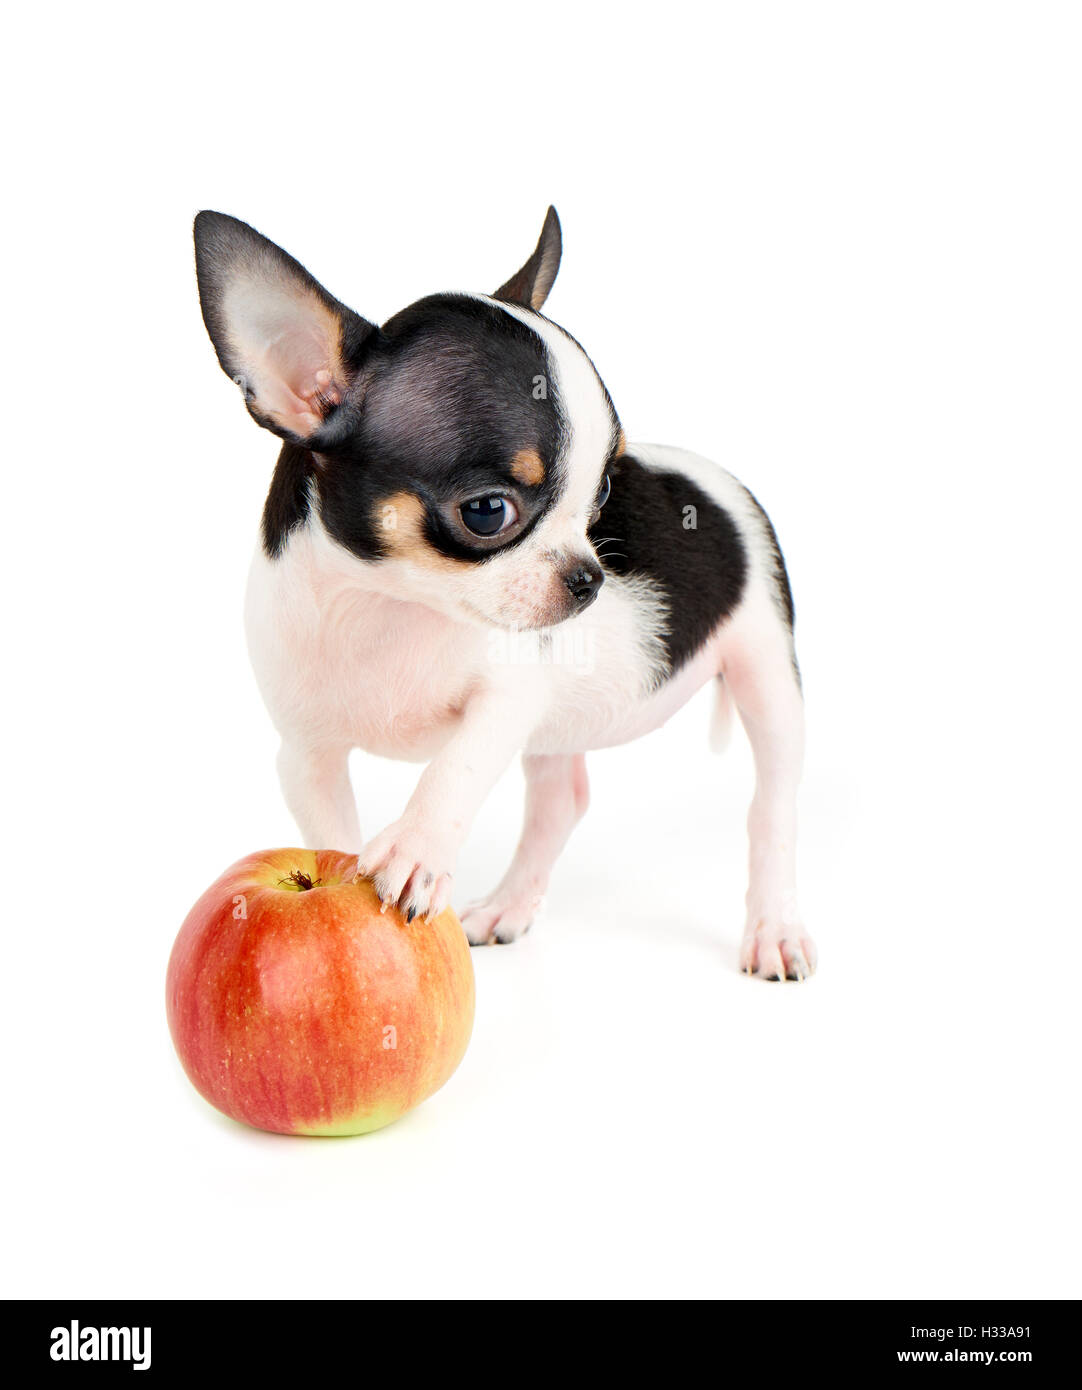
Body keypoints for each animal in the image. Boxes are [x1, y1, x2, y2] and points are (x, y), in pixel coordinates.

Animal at [193, 211, 812, 984]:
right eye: (488, 512)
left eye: (604, 495)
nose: (589, 578)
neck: (386, 604)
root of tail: (725, 481)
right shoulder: (305, 757)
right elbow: (332, 832)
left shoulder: (510, 696)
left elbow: (456, 765)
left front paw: (417, 848)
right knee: (561, 801)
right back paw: (510, 907)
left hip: (765, 666)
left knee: (772, 808)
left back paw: (774, 927)